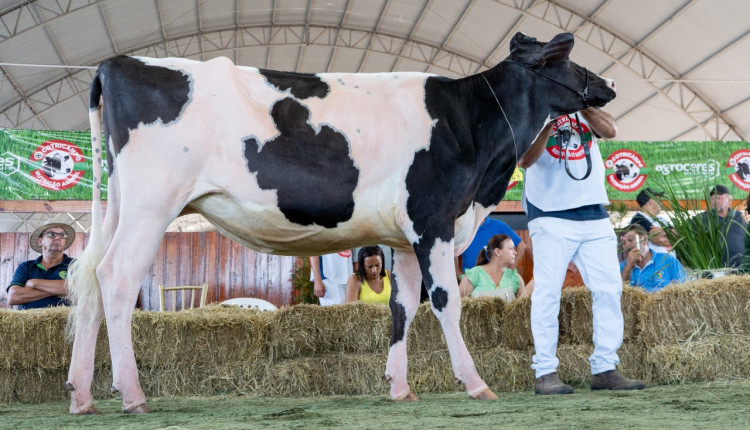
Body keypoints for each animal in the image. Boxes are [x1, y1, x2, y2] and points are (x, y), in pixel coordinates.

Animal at [64, 31, 616, 414]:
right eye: (563, 59)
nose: (608, 85)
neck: (474, 129)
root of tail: (117, 64)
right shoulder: (434, 220)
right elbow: (445, 303)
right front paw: (476, 383)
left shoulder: (404, 237)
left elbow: (402, 307)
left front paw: (400, 388)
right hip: (152, 205)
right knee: (117, 279)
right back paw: (131, 394)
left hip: (122, 205)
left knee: (91, 281)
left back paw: (81, 395)